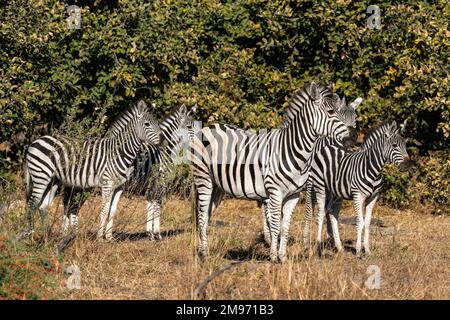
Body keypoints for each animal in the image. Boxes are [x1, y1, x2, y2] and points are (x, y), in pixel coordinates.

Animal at [24, 100, 162, 240]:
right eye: (147, 124)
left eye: (157, 123)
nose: (162, 140)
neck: (120, 151)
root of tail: (36, 140)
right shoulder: (107, 184)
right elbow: (104, 210)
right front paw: (100, 237)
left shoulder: (119, 187)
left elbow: (112, 211)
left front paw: (109, 237)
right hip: (41, 175)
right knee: (32, 204)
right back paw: (30, 236)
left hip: (53, 180)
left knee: (43, 206)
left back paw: (48, 236)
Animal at [62, 104, 200, 239]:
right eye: (189, 126)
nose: (200, 142)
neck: (164, 151)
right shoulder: (160, 182)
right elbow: (157, 206)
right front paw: (157, 234)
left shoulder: (150, 185)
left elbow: (150, 205)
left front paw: (150, 233)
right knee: (72, 206)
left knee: (68, 205)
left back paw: (65, 233)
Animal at [258, 95, 364, 245]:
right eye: (339, 116)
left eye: (355, 118)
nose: (351, 138)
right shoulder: (311, 183)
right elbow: (309, 208)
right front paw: (306, 238)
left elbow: (328, 209)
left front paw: (331, 237)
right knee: (266, 205)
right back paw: (269, 237)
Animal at [304, 120, 414, 255]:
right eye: (394, 145)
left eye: (405, 145)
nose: (408, 165)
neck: (371, 168)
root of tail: (327, 147)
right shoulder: (358, 195)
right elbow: (359, 222)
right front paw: (358, 250)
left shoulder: (373, 197)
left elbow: (367, 222)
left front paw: (367, 250)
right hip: (320, 187)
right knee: (320, 214)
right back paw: (319, 248)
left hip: (336, 194)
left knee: (332, 215)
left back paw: (339, 247)